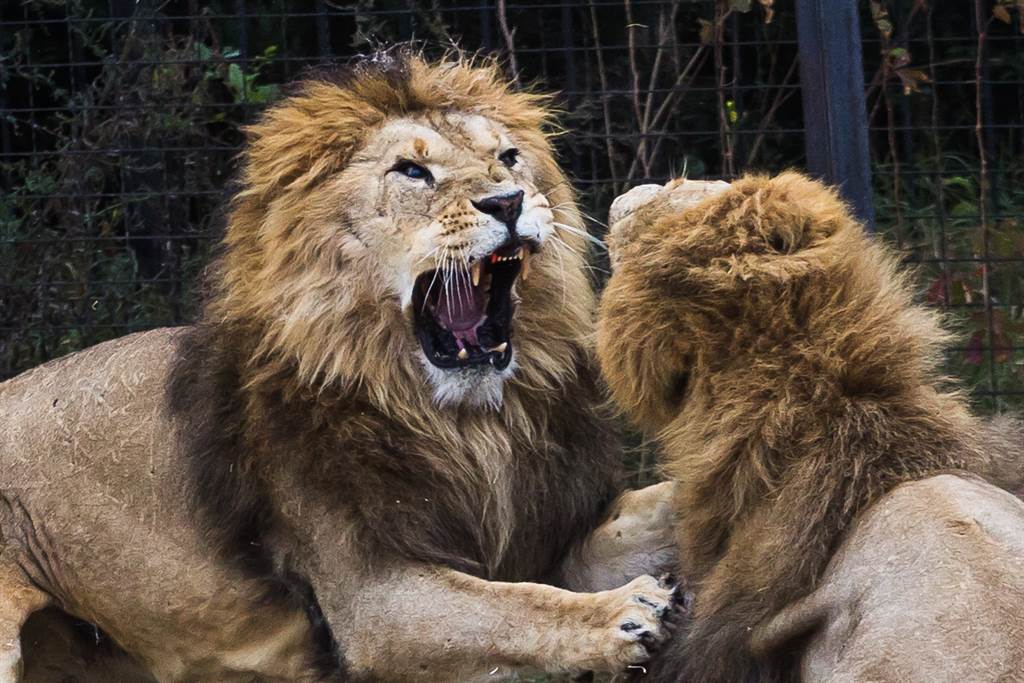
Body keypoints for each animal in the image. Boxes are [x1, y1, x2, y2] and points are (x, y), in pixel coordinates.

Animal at [4, 54, 679, 683]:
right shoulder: (371, 601)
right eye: (412, 171)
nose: (508, 201)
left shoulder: (552, 538)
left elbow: (655, 514)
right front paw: (619, 614)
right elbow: (517, 607)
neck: (467, 427)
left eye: (509, 158)